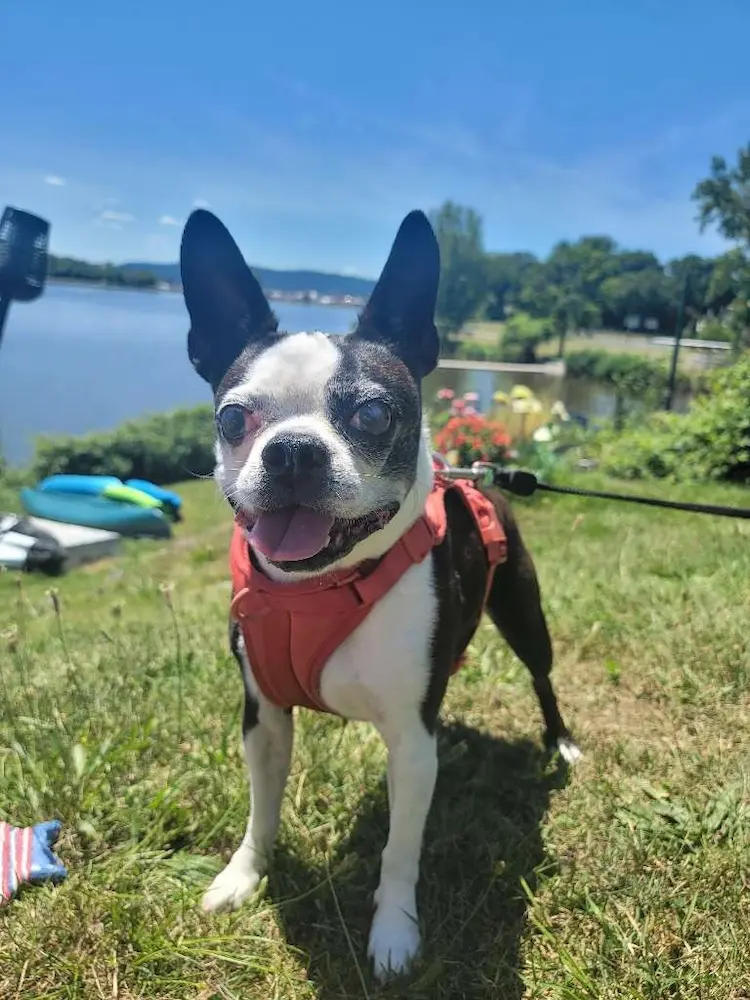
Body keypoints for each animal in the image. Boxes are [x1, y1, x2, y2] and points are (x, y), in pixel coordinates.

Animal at [179, 207, 580, 980]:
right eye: (233, 419)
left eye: (372, 416)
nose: (293, 450)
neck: (321, 587)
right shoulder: (262, 717)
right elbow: (260, 809)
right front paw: (244, 876)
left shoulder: (413, 741)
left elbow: (400, 849)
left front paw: (395, 933)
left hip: (525, 614)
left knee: (543, 676)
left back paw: (562, 743)